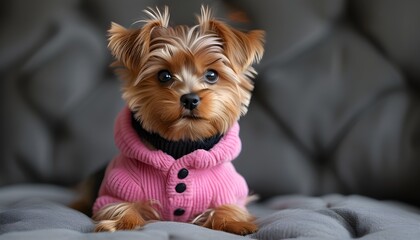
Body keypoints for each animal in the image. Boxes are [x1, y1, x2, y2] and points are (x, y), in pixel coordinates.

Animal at [92, 6, 264, 236]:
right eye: (164, 75)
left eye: (212, 75)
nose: (190, 99)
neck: (182, 142)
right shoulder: (118, 186)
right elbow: (118, 205)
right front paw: (121, 223)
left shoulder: (227, 189)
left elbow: (228, 207)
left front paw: (235, 222)